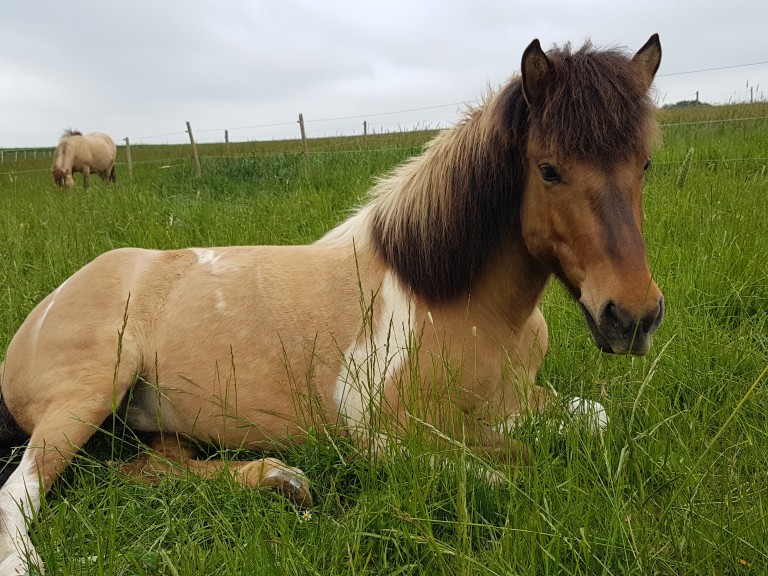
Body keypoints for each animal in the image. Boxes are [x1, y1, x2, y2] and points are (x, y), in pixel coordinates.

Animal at [0, 35, 664, 572]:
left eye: (645, 164)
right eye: (548, 170)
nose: (632, 316)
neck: (464, 308)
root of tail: (45, 308)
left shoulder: (521, 402)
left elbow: (592, 420)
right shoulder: (382, 437)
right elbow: (506, 474)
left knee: (151, 467)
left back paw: (280, 479)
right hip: (89, 394)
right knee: (19, 496)